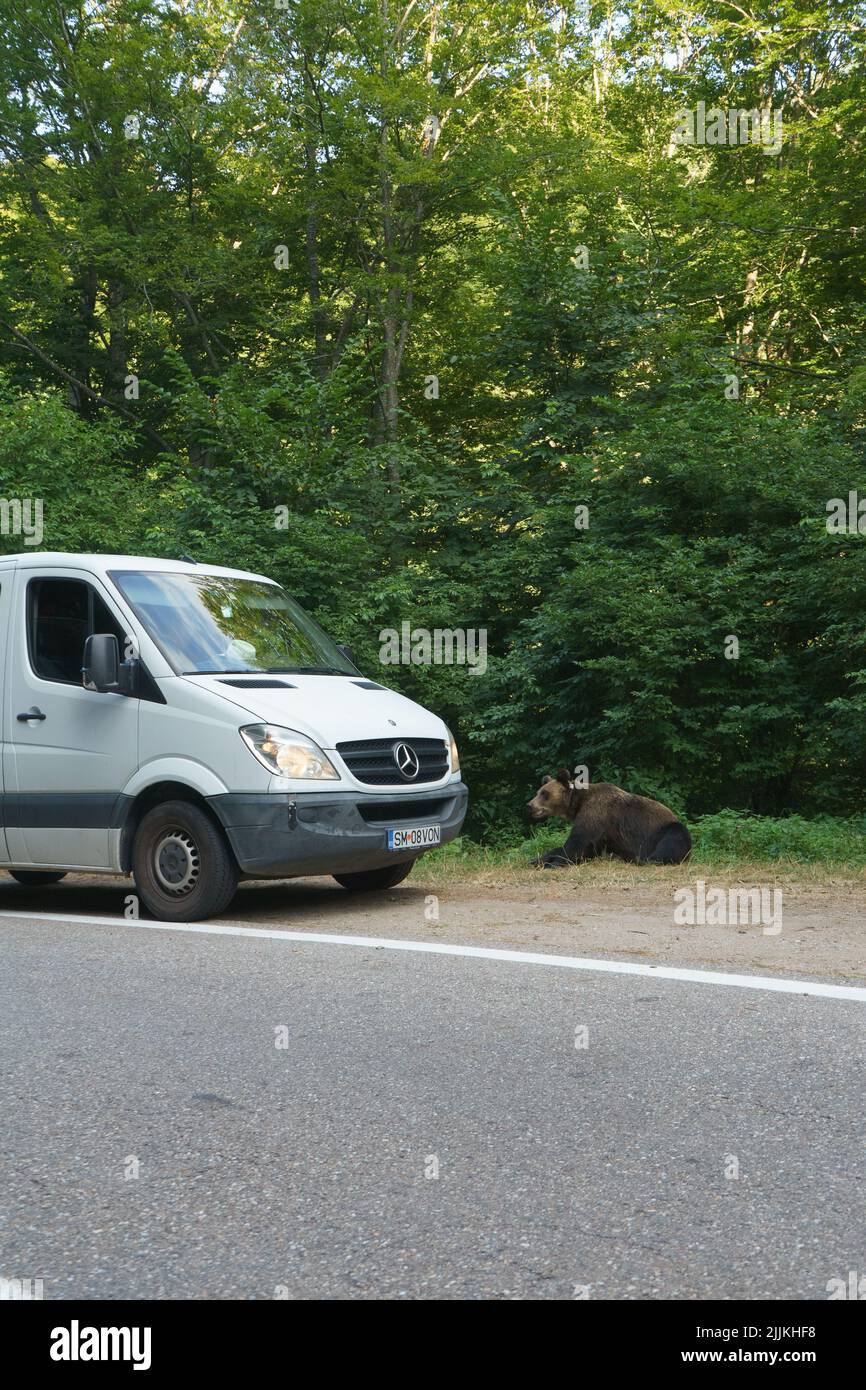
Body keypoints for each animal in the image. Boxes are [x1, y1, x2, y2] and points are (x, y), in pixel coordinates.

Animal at [527, 768, 692, 868]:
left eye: (545, 794)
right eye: (538, 792)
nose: (530, 805)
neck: (577, 803)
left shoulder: (595, 815)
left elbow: (576, 844)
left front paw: (553, 864)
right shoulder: (604, 836)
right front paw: (536, 860)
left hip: (665, 828)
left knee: (671, 841)